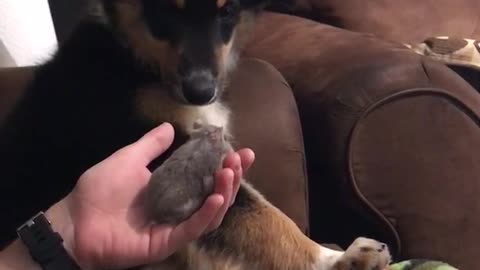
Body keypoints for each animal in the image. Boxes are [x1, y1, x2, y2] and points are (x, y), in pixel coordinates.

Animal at [0, 0, 392, 270]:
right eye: (163, 9)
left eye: (227, 11)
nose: (202, 92)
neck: (137, 63)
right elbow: (264, 218)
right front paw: (334, 259)